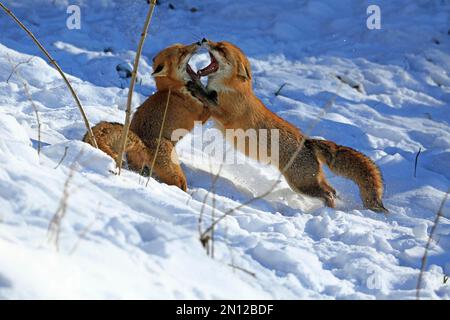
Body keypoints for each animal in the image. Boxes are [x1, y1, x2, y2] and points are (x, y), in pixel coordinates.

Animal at [85, 43, 217, 191]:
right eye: (182, 52)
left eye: (183, 46)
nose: (199, 42)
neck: (173, 89)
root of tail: (141, 141)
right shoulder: (201, 115)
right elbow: (211, 104)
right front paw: (209, 93)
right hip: (176, 173)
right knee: (180, 184)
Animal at [190, 38, 386, 212]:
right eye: (217, 43)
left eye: (221, 49)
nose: (204, 39)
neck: (230, 89)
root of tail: (308, 141)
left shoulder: (225, 115)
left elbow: (207, 97)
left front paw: (195, 84)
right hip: (308, 181)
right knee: (332, 190)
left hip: (301, 184)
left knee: (327, 194)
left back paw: (327, 211)